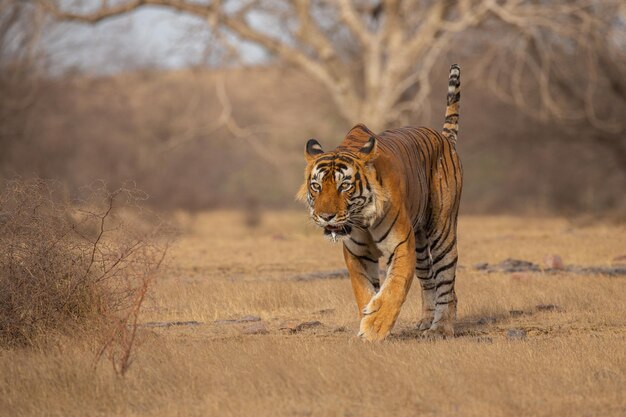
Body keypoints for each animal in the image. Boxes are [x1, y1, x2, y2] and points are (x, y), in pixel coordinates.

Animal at [294, 63, 460, 340]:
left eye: (344, 186)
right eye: (316, 186)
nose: (326, 217)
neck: (361, 220)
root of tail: (443, 137)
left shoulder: (401, 245)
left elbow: (394, 287)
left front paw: (374, 328)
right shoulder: (357, 253)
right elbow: (365, 292)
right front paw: (368, 317)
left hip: (442, 230)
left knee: (446, 281)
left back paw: (441, 328)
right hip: (420, 242)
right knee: (429, 280)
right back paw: (426, 322)